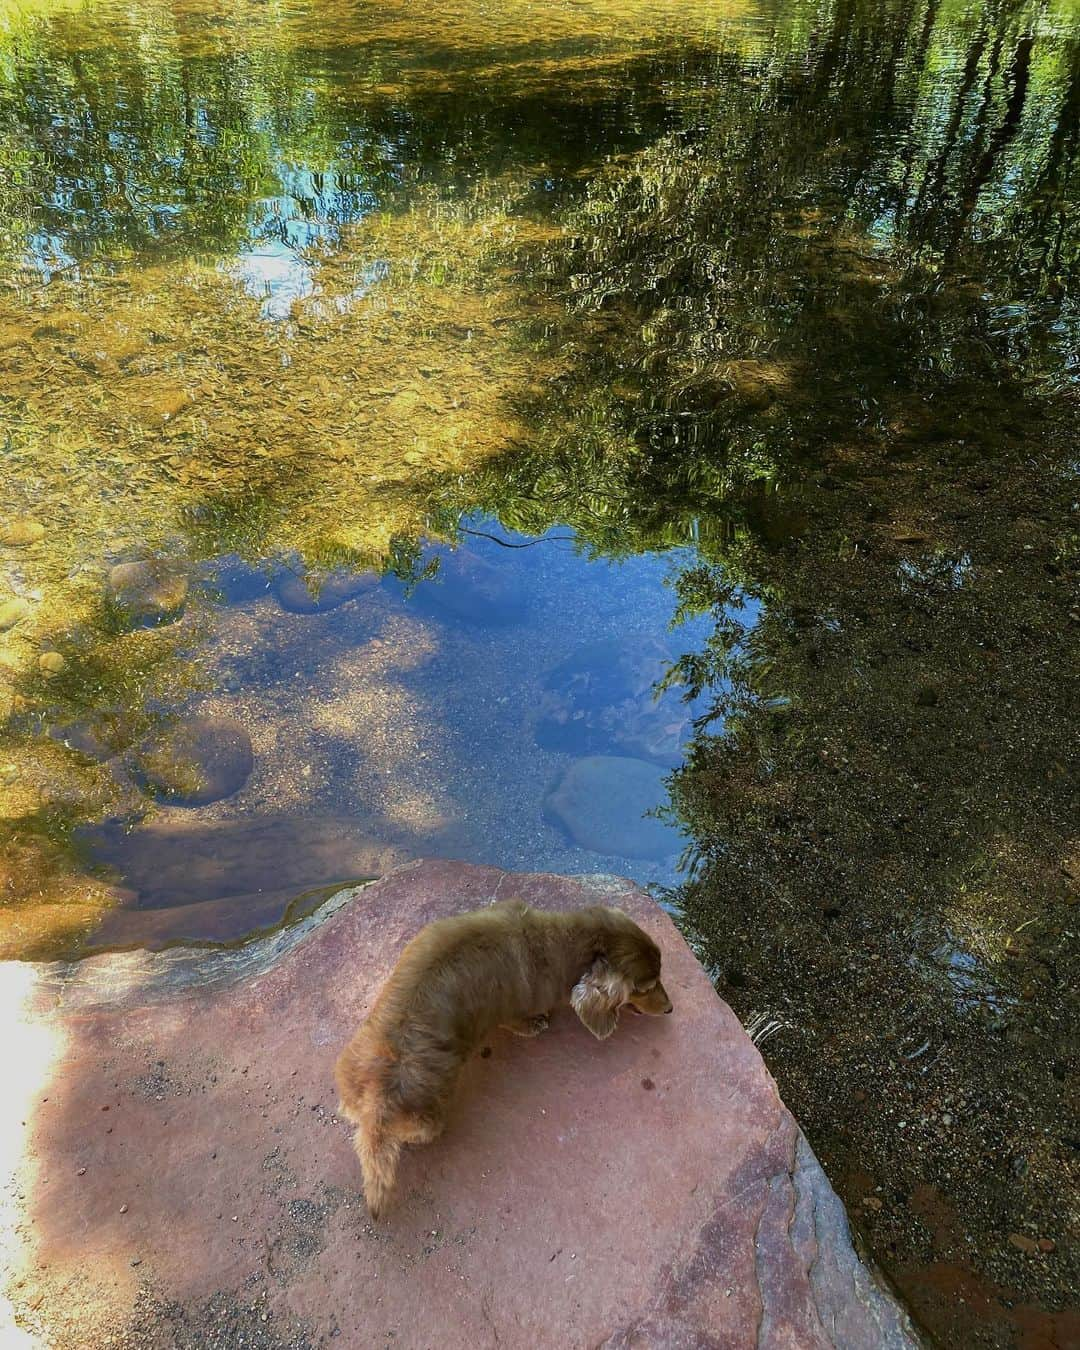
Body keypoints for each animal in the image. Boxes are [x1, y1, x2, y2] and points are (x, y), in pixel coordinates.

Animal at [337, 901, 669, 1220]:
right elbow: (520, 1021)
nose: (671, 1009)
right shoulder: (511, 1011)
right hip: (430, 1116)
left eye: (660, 975)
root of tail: (376, 1107)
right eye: (645, 987)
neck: (555, 944)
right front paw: (536, 1024)